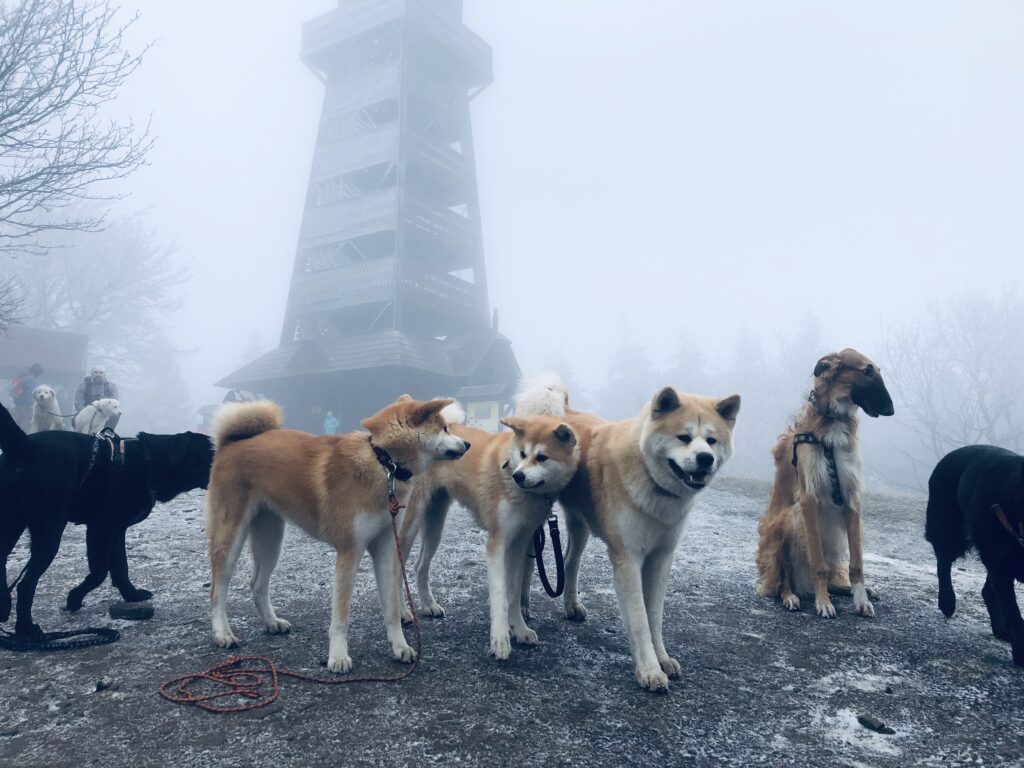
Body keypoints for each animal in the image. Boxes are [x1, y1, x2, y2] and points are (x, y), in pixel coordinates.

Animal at [0, 399, 211, 634]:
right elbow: (101, 571)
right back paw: (26, 628)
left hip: (11, 523)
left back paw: (4, 606)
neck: (148, 463)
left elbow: (120, 567)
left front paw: (131, 595)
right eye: (210, 454)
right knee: (26, 584)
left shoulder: (117, 529)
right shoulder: (101, 528)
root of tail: (26, 446)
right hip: (49, 531)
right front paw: (74, 597)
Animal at [929, 444, 1024, 667]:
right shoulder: (1002, 565)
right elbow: (1015, 616)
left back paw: (1000, 629)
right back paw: (947, 601)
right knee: (943, 564)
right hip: (948, 531)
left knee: (988, 591)